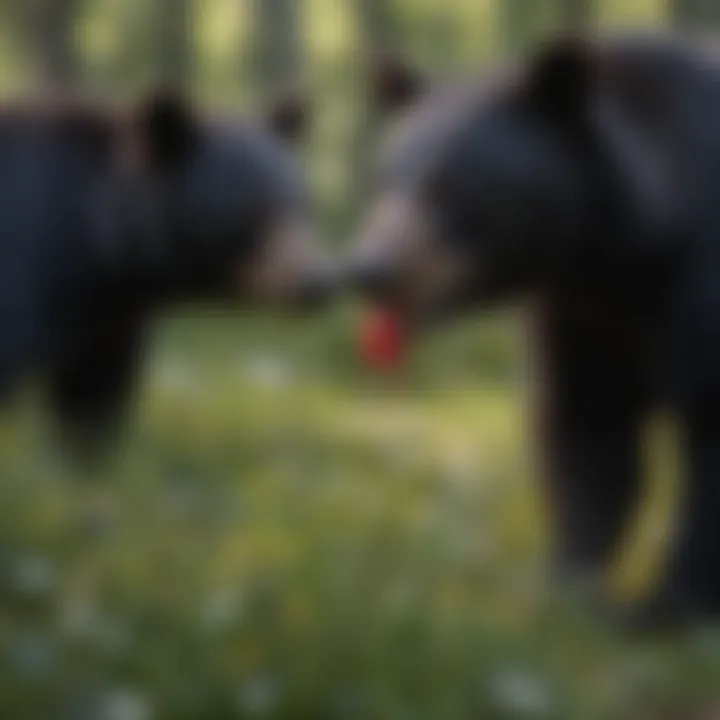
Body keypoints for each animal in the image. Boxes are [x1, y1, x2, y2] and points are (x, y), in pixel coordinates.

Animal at [0, 91, 332, 456]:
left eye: (299, 204)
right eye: (253, 208)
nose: (315, 282)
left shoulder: (109, 326)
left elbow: (92, 400)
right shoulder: (27, 269)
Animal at [350, 33, 720, 632]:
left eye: (447, 187)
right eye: (383, 180)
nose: (368, 269)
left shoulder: (696, 283)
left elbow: (709, 423)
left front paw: (665, 609)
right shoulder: (579, 318)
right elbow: (586, 432)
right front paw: (571, 586)